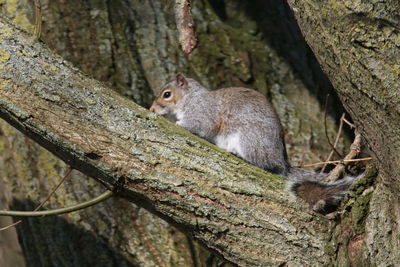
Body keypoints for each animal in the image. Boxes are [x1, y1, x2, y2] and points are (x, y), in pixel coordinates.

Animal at [150, 73, 356, 214]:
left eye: (167, 94)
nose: (152, 109)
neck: (190, 98)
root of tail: (281, 162)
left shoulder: (204, 113)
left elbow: (201, 125)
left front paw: (179, 123)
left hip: (249, 139)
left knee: (261, 163)